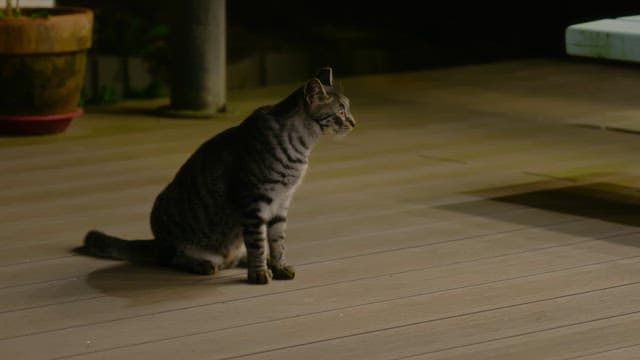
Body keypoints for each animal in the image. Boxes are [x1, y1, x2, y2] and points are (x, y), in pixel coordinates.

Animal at [78, 68, 358, 284]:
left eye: (348, 109)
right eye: (341, 111)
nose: (354, 122)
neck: (302, 147)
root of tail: (157, 241)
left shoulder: (281, 203)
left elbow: (277, 241)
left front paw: (278, 266)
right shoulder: (254, 202)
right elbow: (259, 242)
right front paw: (258, 274)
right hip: (172, 229)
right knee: (174, 259)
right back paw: (201, 264)